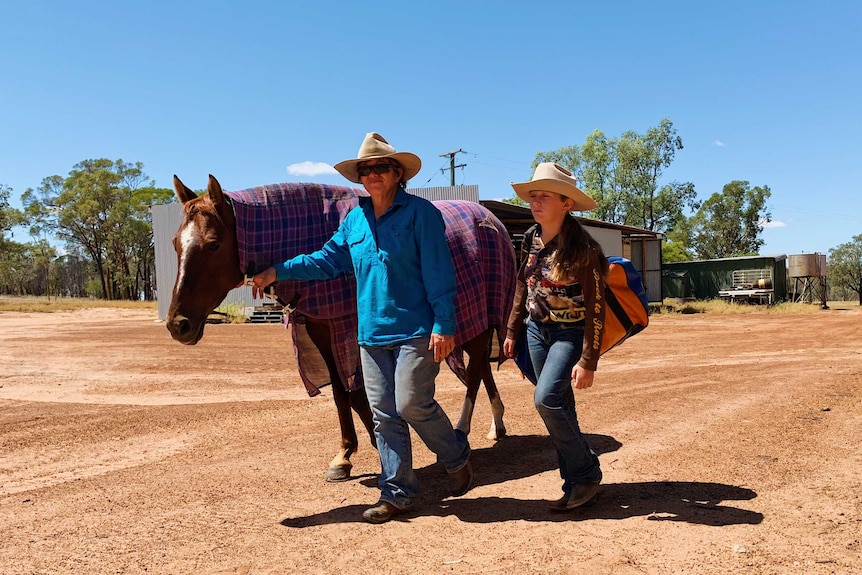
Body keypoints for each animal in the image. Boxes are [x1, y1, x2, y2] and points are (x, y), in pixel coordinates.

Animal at [170, 174, 520, 482]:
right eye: (175, 244)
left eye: (213, 245)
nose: (178, 325)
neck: (308, 228)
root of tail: (490, 218)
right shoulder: (321, 329)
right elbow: (342, 392)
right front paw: (345, 455)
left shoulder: (352, 329)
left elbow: (359, 391)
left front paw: (379, 449)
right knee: (480, 368)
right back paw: (497, 424)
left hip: (478, 316)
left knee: (474, 372)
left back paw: (463, 430)